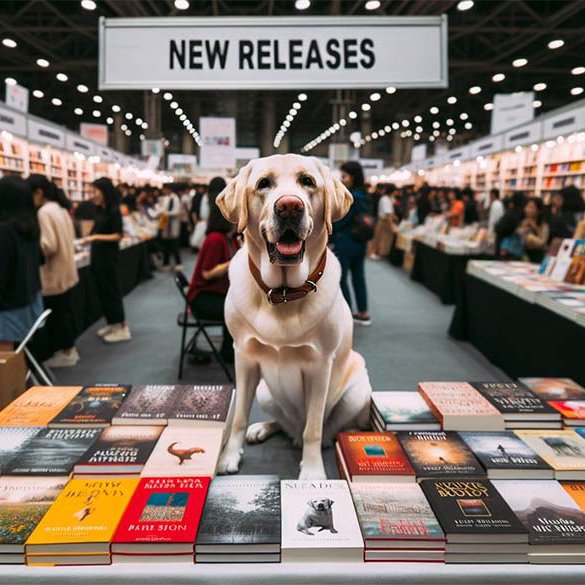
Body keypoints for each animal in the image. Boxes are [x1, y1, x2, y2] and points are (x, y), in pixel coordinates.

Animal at [214, 153, 370, 476]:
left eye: (307, 181)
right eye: (263, 184)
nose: (289, 206)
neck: (283, 292)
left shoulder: (320, 366)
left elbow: (314, 427)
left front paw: (311, 471)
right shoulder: (244, 358)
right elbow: (239, 417)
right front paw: (229, 456)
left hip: (357, 390)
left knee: (325, 428)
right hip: (264, 390)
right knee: (284, 424)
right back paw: (262, 428)